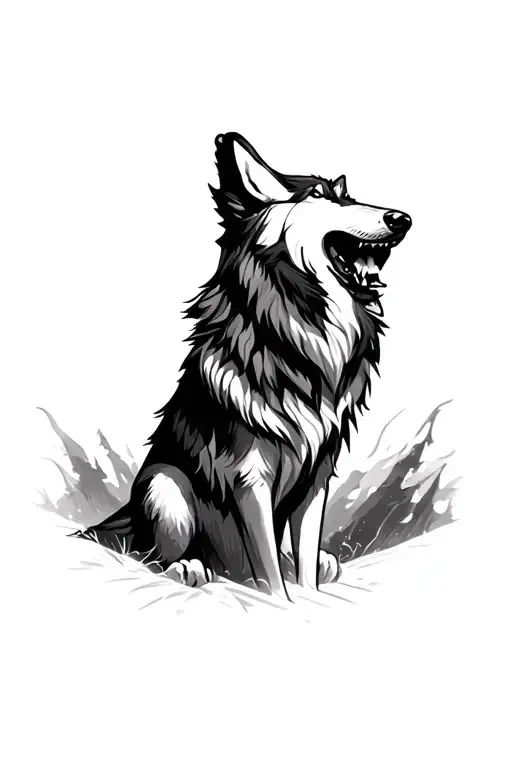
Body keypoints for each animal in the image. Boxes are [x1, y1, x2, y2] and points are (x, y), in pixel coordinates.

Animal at [78, 132, 412, 600]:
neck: (301, 335)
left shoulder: (316, 478)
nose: (403, 219)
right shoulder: (249, 477)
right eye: (319, 195)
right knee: (151, 553)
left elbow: (303, 564)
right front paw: (280, 602)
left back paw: (325, 562)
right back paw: (188, 566)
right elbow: (269, 573)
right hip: (165, 485)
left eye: (348, 196)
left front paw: (309, 597)